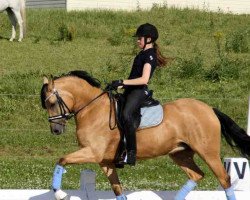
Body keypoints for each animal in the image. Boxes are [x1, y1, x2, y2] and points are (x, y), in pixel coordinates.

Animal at [40, 70, 250, 200]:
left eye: (51, 103)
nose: (55, 130)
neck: (93, 109)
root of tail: (210, 109)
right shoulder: (105, 162)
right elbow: (118, 190)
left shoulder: (92, 152)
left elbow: (61, 159)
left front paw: (59, 193)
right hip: (180, 153)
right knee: (196, 175)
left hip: (208, 153)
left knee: (224, 179)